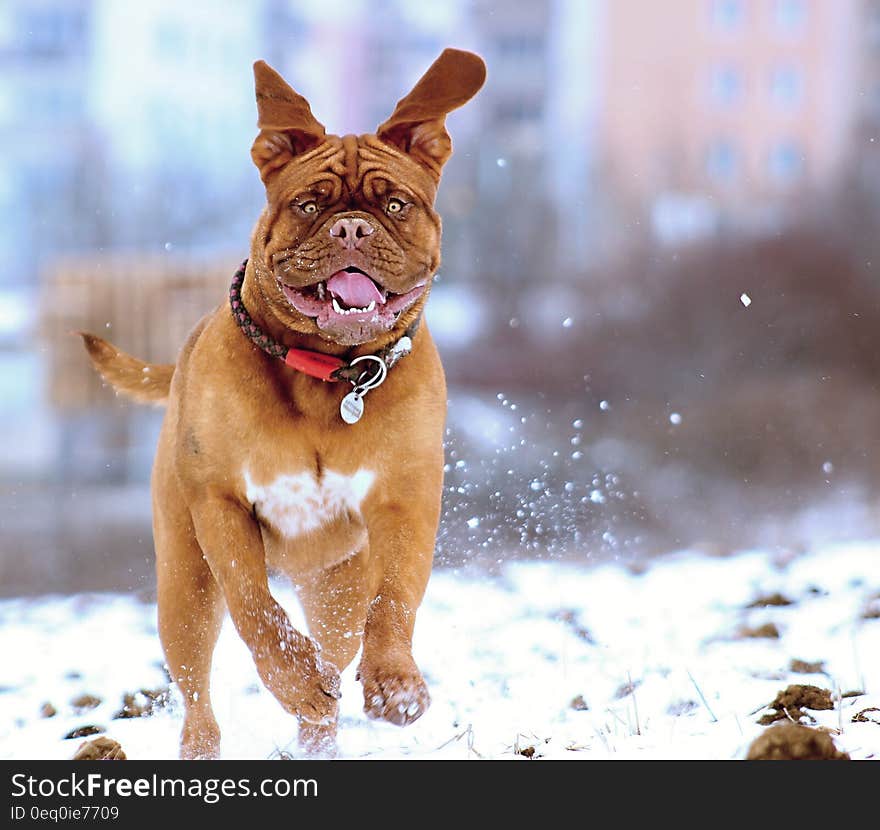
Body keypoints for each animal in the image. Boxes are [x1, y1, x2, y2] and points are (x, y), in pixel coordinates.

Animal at [79, 47, 484, 760]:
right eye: (308, 203)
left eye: (397, 203)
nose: (351, 227)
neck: (329, 374)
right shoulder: (220, 504)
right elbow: (253, 605)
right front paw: (295, 679)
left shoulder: (406, 500)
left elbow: (396, 597)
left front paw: (396, 685)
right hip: (182, 583)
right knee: (198, 685)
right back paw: (209, 745)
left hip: (336, 590)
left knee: (343, 638)